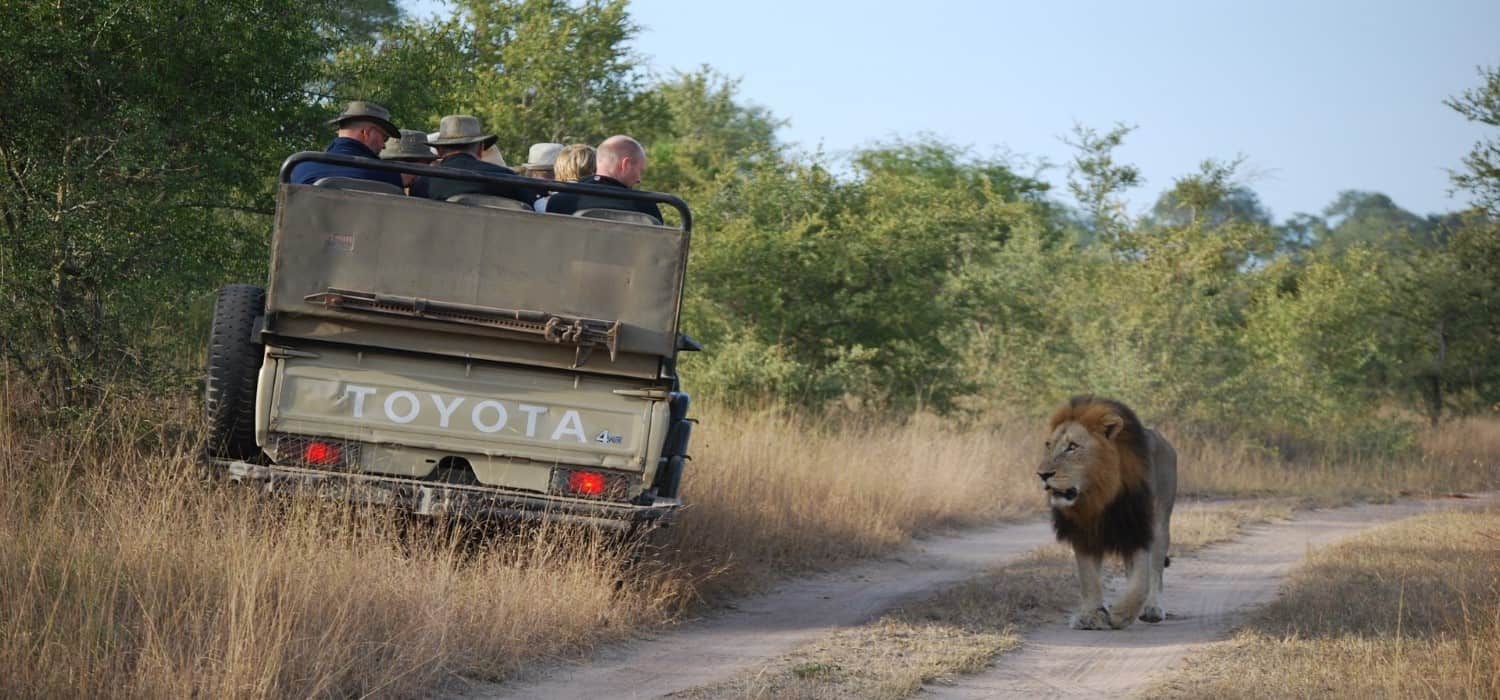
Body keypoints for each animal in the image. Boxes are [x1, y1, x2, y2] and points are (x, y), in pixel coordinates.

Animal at [1038, 398, 1176, 632]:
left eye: (1072, 447)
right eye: (1049, 445)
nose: (1042, 474)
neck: (1099, 495)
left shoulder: (1138, 528)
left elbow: (1142, 580)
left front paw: (1121, 614)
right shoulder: (1084, 534)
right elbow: (1088, 579)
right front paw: (1090, 615)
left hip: (1160, 524)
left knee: (1155, 570)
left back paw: (1152, 609)